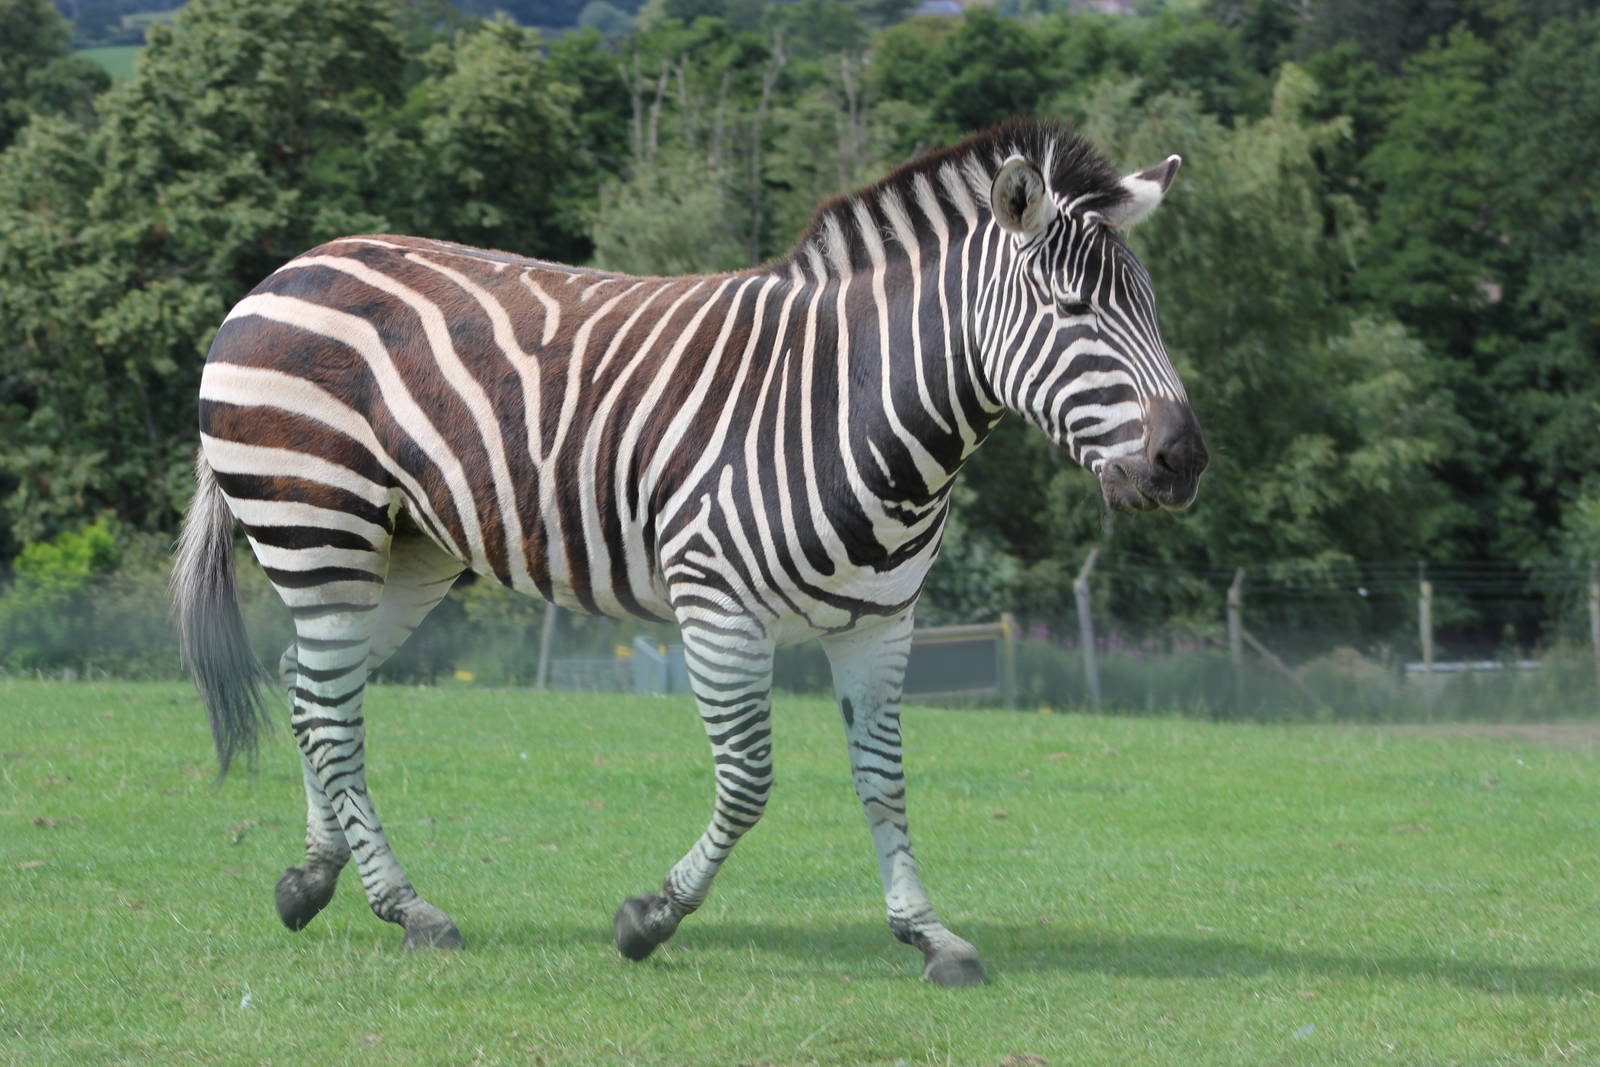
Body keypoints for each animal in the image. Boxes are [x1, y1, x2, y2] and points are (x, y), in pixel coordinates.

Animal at [172, 118, 1207, 987]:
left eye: (1155, 309)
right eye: (1071, 308)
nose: (1184, 460)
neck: (854, 402)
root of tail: (289, 268)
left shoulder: (881, 622)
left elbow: (884, 779)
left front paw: (929, 932)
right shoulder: (717, 606)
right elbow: (748, 782)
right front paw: (649, 918)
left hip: (407, 551)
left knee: (313, 689)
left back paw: (315, 878)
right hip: (321, 523)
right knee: (329, 709)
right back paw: (410, 907)